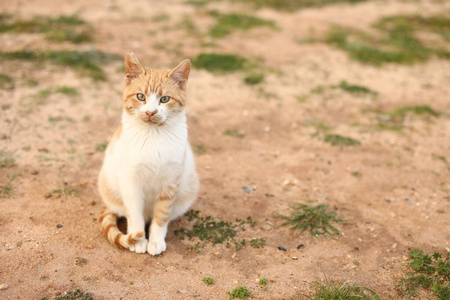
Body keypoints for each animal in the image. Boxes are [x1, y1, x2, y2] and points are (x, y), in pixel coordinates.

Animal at [98, 52, 199, 254]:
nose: (151, 112)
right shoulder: (131, 183)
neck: (154, 136)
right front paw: (137, 240)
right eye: (140, 96)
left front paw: (155, 241)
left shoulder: (170, 183)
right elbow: (134, 214)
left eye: (165, 99)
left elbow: (161, 217)